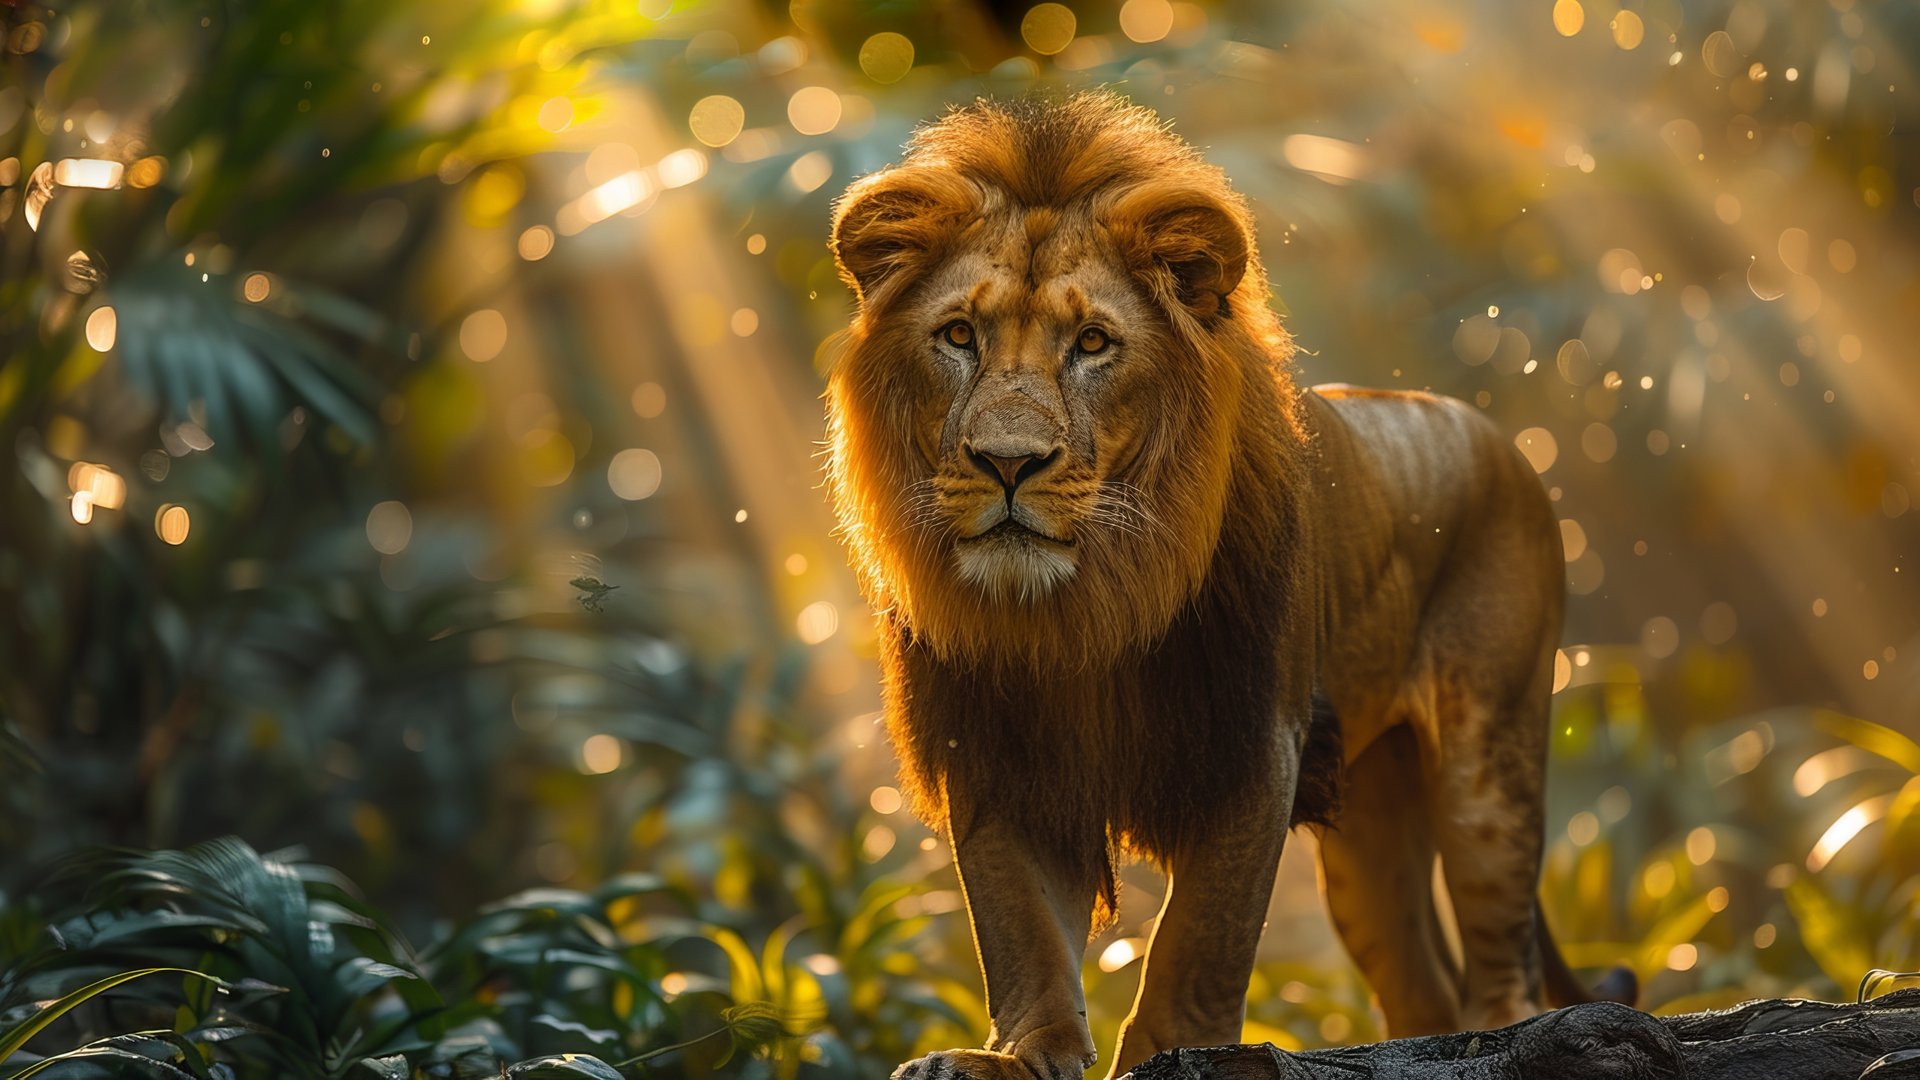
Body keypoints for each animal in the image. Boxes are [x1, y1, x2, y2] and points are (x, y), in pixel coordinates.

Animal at [823, 93, 1633, 1080]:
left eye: (1092, 343)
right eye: (958, 336)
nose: (1007, 463)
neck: (1081, 608)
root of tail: (1478, 426)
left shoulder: (1254, 743)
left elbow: (1201, 936)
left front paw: (1175, 1052)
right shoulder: (994, 754)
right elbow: (1021, 931)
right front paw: (1014, 1056)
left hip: (1489, 759)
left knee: (1501, 965)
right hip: (1372, 820)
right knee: (1420, 986)